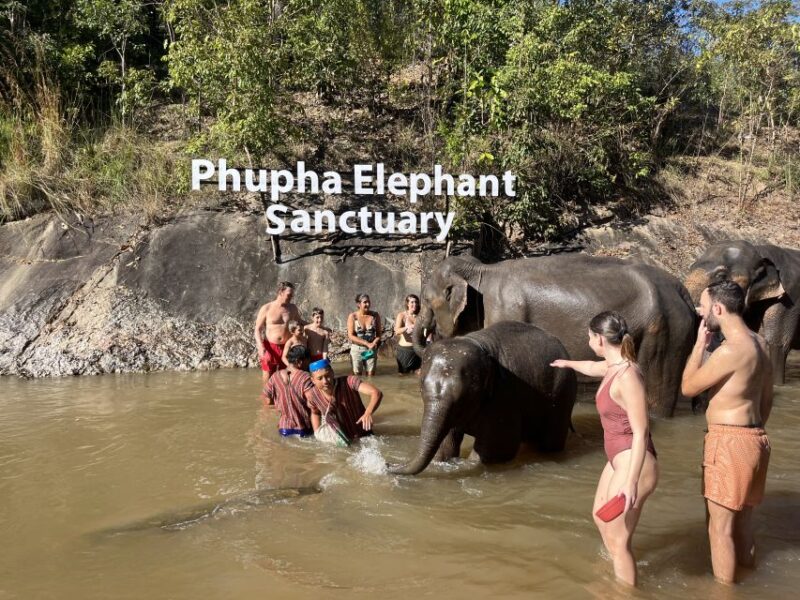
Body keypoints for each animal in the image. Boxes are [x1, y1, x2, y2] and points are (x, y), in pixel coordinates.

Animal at [390, 321, 577, 475]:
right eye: (421, 385)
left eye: (465, 394)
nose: (388, 465)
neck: (479, 343)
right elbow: (447, 443)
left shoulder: (505, 396)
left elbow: (494, 450)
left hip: (562, 396)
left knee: (550, 441)